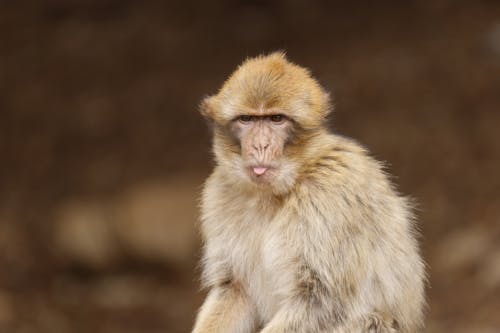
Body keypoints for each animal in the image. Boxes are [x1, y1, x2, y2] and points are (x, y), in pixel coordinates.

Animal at [191, 52, 426, 332]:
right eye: (247, 119)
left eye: (276, 119)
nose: (260, 145)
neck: (279, 189)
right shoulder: (219, 192)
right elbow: (234, 289)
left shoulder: (328, 195)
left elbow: (322, 300)